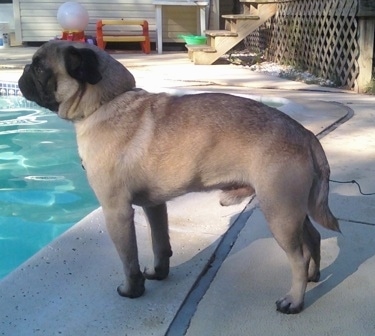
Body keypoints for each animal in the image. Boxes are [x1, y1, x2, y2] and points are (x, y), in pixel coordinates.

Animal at [18, 40, 340, 314]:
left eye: (39, 68)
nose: (23, 72)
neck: (106, 102)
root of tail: (305, 135)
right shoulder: (154, 206)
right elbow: (160, 244)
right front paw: (159, 273)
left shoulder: (116, 211)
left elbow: (129, 260)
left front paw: (132, 290)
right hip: (292, 209)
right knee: (312, 237)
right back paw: (314, 275)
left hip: (279, 211)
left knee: (297, 258)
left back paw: (294, 300)